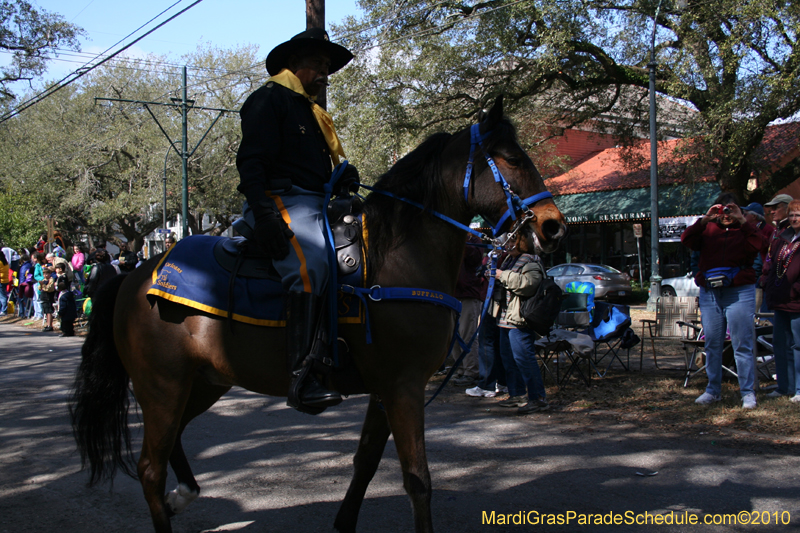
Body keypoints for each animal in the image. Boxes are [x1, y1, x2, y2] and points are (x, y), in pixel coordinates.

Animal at [70, 96, 568, 532]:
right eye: (512, 158)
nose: (553, 226)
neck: (399, 256)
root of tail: (137, 275)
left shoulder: (387, 388)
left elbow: (366, 462)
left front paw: (344, 522)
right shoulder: (404, 386)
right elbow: (418, 481)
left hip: (202, 382)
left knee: (170, 445)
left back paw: (184, 494)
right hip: (162, 386)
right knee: (150, 468)